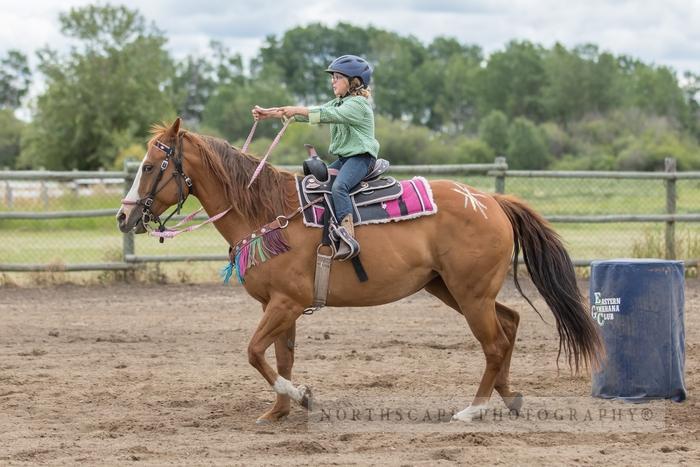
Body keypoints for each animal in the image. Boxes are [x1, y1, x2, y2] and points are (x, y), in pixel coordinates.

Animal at [116, 119, 600, 424]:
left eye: (149, 166)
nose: (123, 217)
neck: (268, 212)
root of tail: (492, 201)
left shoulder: (285, 303)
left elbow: (254, 352)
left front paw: (302, 397)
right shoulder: (283, 306)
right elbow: (281, 356)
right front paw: (279, 411)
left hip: (470, 293)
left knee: (495, 342)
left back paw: (473, 408)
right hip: (451, 289)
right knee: (510, 323)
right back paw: (509, 395)